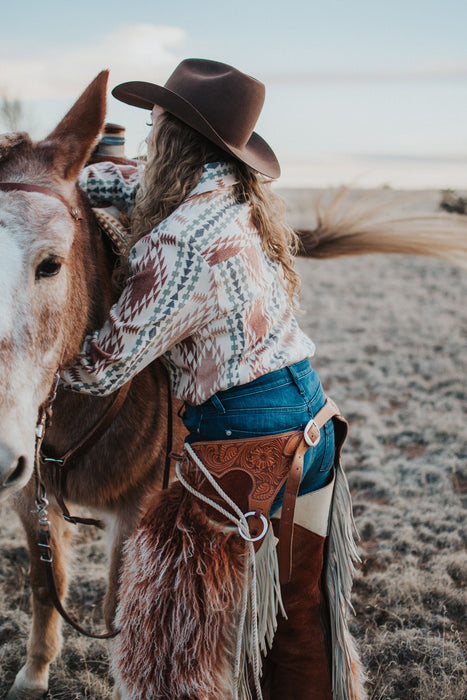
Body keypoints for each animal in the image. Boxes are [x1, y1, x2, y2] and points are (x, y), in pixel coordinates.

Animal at [0, 71, 467, 700]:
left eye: (50, 264)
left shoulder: (136, 509)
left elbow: (119, 616)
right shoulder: (31, 495)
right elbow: (44, 585)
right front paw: (33, 673)